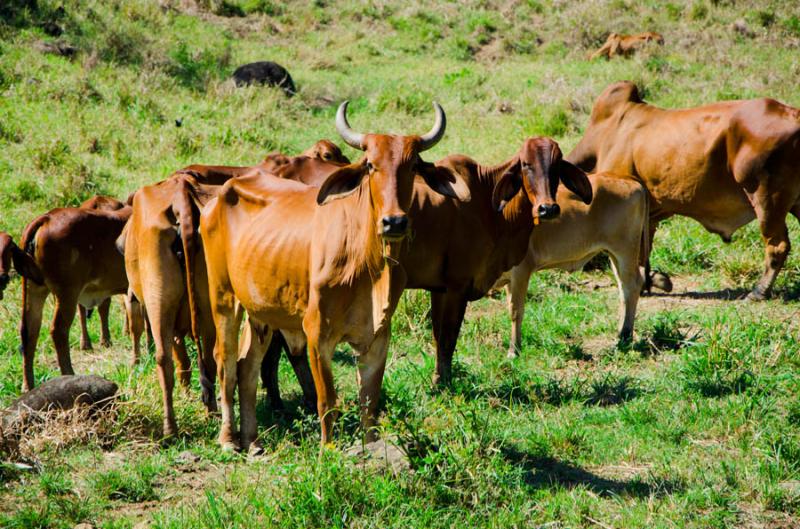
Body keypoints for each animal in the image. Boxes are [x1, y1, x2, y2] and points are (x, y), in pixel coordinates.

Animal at [564, 80, 800, 300]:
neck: (604, 136)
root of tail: (794, 115)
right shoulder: (648, 216)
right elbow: (643, 251)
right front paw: (654, 280)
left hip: (766, 198)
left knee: (778, 245)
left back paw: (758, 291)